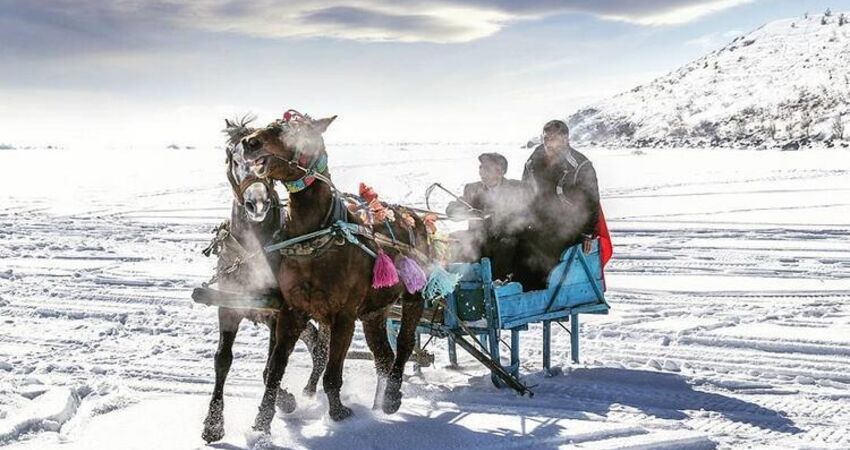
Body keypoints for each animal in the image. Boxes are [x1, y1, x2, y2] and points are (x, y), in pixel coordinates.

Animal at [200, 117, 330, 442]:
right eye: (231, 158)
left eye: (266, 163)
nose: (257, 204)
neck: (253, 250)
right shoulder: (229, 307)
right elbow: (223, 359)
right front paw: (213, 424)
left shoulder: (278, 315)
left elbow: (271, 366)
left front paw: (283, 402)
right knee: (315, 342)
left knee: (321, 345)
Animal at [240, 111, 430, 428]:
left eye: (291, 129)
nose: (248, 142)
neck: (316, 240)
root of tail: (411, 215)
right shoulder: (292, 312)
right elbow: (274, 370)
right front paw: (262, 424)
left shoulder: (344, 316)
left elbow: (332, 372)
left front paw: (339, 412)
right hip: (375, 311)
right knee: (383, 355)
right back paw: (382, 400)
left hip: (415, 294)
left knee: (404, 344)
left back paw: (391, 397)